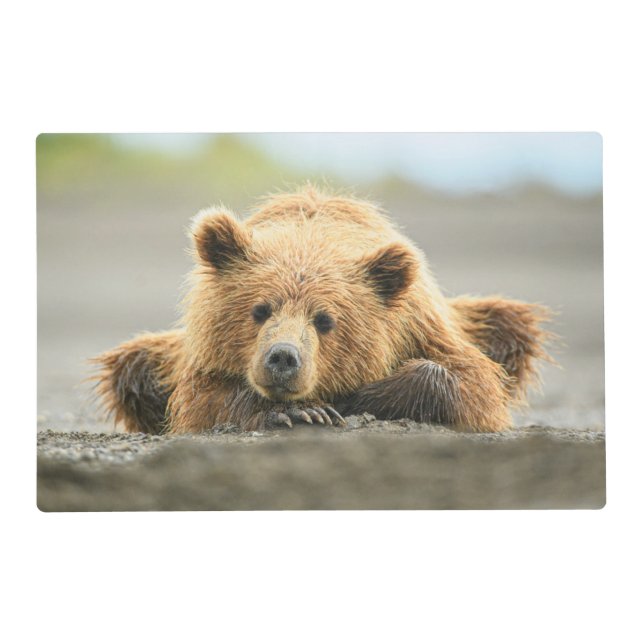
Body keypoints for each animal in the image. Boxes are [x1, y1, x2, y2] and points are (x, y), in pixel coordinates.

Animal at [93, 186, 552, 434]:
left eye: (325, 320)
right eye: (260, 309)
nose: (282, 357)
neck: (311, 236)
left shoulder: (422, 326)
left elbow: (471, 383)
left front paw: (352, 399)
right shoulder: (200, 357)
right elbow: (201, 401)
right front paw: (302, 411)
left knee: (512, 326)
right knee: (132, 366)